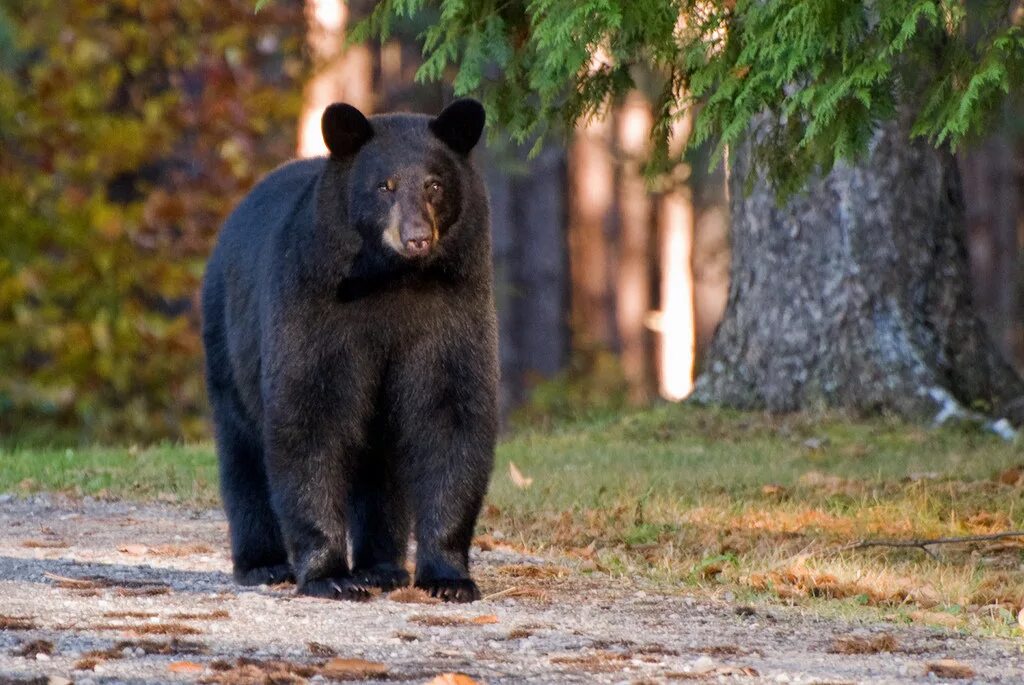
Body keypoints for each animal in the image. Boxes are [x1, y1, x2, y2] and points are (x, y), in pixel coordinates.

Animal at [198, 98, 495, 602]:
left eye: (435, 184)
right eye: (384, 186)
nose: (417, 237)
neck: (390, 280)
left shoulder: (453, 306)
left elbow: (452, 412)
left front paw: (449, 577)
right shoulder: (316, 302)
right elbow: (309, 412)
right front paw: (330, 575)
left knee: (380, 465)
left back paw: (381, 567)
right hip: (227, 337)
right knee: (242, 449)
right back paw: (263, 563)